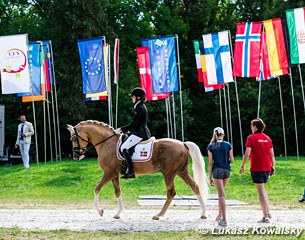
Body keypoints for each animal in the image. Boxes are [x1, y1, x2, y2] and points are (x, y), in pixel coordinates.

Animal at [67, 121, 208, 220]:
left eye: (73, 139)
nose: (76, 156)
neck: (107, 143)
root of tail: (182, 144)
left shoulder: (108, 173)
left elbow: (97, 188)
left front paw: (100, 211)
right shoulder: (114, 174)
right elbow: (117, 192)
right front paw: (118, 213)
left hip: (169, 173)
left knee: (171, 193)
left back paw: (158, 215)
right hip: (181, 171)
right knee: (195, 187)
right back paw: (203, 214)